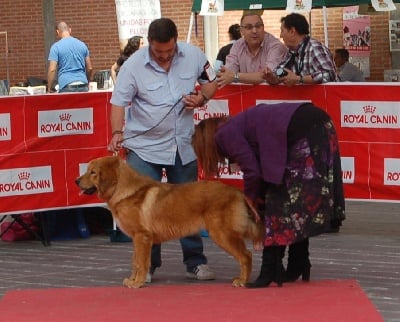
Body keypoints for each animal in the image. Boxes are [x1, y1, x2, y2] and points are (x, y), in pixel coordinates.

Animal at [75, 156, 264, 290]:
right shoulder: (138, 239)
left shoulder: (142, 236)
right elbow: (135, 261)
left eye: (93, 172)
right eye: (88, 170)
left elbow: (141, 263)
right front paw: (133, 279)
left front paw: (137, 283)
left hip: (221, 234)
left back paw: (242, 281)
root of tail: (237, 192)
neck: (123, 190)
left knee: (246, 256)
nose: (76, 181)